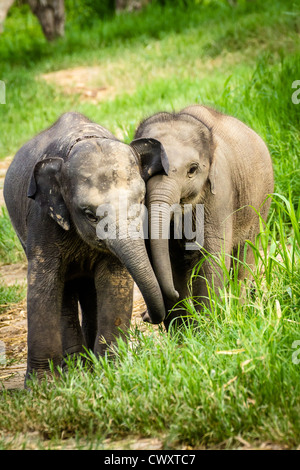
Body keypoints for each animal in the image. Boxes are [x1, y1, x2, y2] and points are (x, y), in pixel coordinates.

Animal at [4, 112, 168, 384]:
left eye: (141, 201)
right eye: (89, 214)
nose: (147, 316)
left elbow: (115, 280)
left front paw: (111, 370)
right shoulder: (42, 217)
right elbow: (44, 283)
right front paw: (41, 385)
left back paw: (87, 364)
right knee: (65, 290)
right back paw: (75, 366)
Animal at [132, 104, 274, 328]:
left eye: (192, 169)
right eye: (141, 166)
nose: (146, 317)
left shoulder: (220, 194)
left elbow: (213, 257)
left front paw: (207, 328)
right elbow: (168, 257)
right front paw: (182, 331)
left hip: (260, 205)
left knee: (244, 256)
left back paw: (239, 308)